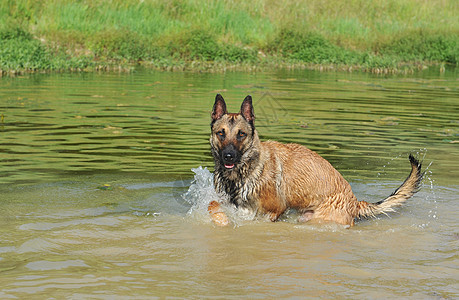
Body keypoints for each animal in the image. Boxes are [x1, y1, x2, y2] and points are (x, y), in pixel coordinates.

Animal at [208, 94, 424, 225]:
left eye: (241, 134)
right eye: (221, 133)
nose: (228, 156)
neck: (247, 168)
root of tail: (354, 202)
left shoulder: (272, 212)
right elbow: (215, 205)